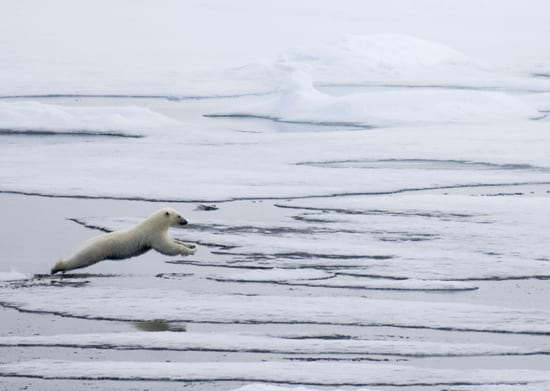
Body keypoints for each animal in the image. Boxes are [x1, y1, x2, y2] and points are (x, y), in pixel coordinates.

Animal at [51, 208, 197, 276]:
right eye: (179, 215)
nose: (186, 221)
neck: (154, 224)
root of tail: (86, 243)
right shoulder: (152, 236)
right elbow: (167, 248)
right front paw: (191, 251)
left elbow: (173, 241)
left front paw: (191, 245)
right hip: (94, 251)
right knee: (79, 259)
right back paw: (56, 267)